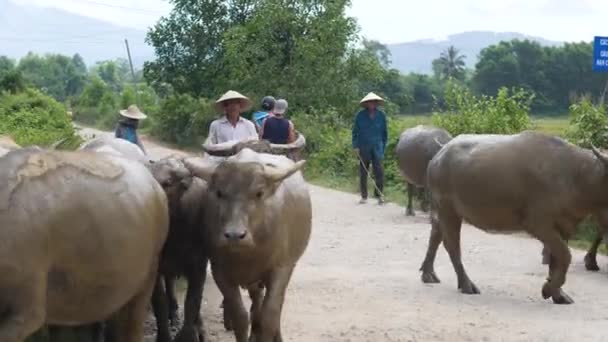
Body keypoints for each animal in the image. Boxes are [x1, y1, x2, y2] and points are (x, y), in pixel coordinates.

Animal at [183, 148, 312, 342]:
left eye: (259, 193)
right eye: (219, 193)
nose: (235, 235)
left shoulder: (281, 268)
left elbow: (270, 316)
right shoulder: (220, 272)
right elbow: (241, 316)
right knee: (256, 301)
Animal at [420, 132, 608, 304]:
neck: (576, 176)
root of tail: (438, 155)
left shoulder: (564, 226)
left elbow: (557, 259)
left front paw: (558, 295)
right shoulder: (538, 224)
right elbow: (565, 255)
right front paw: (548, 289)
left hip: (442, 210)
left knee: (435, 235)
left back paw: (428, 274)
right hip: (448, 209)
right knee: (451, 245)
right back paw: (466, 284)